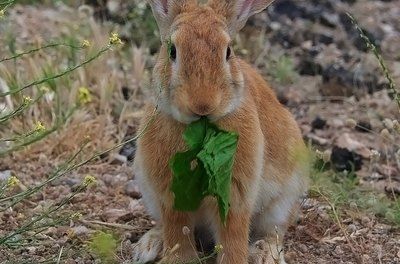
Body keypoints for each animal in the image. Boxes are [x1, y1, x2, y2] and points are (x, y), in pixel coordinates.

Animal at [133, 1, 310, 262]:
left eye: (228, 52)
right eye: (172, 51)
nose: (202, 104)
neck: (200, 134)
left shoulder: (235, 193)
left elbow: (232, 233)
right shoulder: (168, 192)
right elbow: (176, 228)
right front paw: (179, 259)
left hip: (283, 201)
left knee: (275, 231)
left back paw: (266, 254)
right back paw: (148, 246)